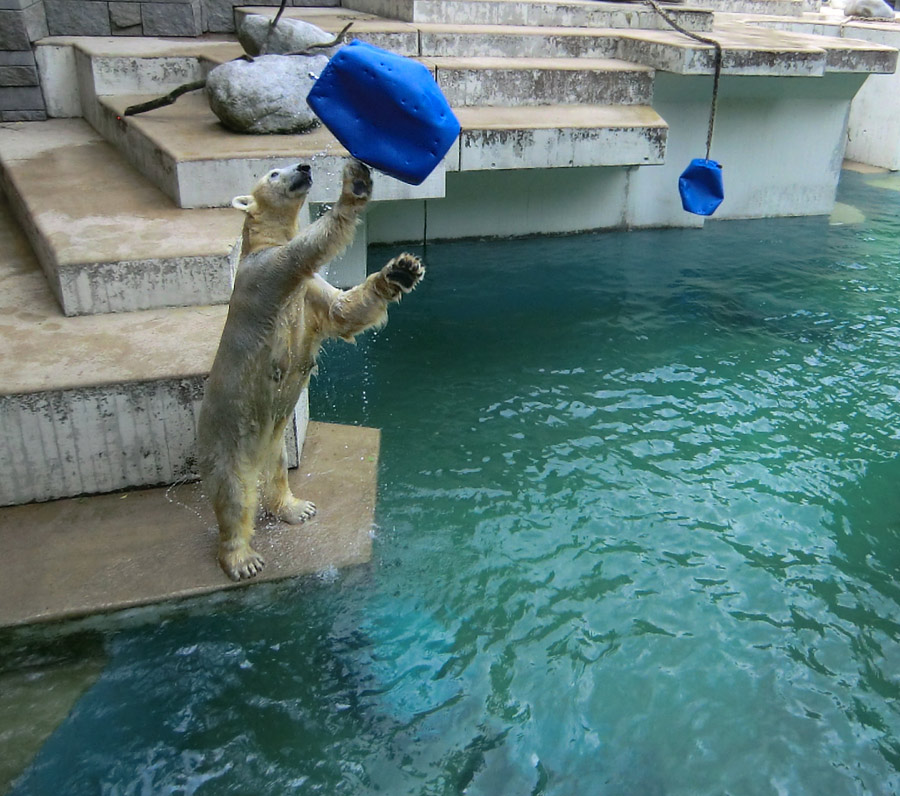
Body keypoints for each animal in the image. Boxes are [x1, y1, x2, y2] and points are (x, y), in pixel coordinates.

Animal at [197, 159, 422, 580]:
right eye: (273, 173)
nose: (303, 166)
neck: (259, 244)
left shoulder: (309, 292)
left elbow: (342, 311)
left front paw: (401, 271)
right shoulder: (269, 273)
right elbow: (307, 249)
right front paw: (355, 186)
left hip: (273, 443)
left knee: (277, 473)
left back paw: (296, 507)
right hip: (225, 442)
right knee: (234, 497)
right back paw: (242, 559)